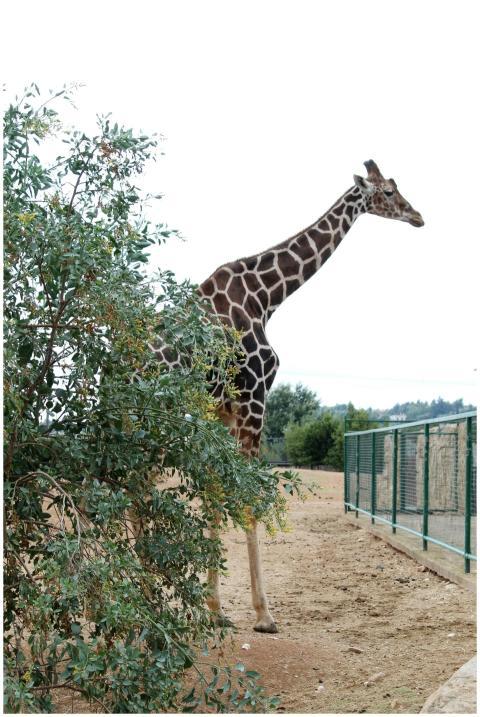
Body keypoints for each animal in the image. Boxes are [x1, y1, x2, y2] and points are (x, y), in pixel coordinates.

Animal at [154, 159, 424, 633]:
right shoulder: (254, 398)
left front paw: (217, 609)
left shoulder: (223, 411)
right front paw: (264, 615)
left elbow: (215, 495)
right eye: (390, 191)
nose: (418, 216)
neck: (268, 296)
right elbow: (246, 498)